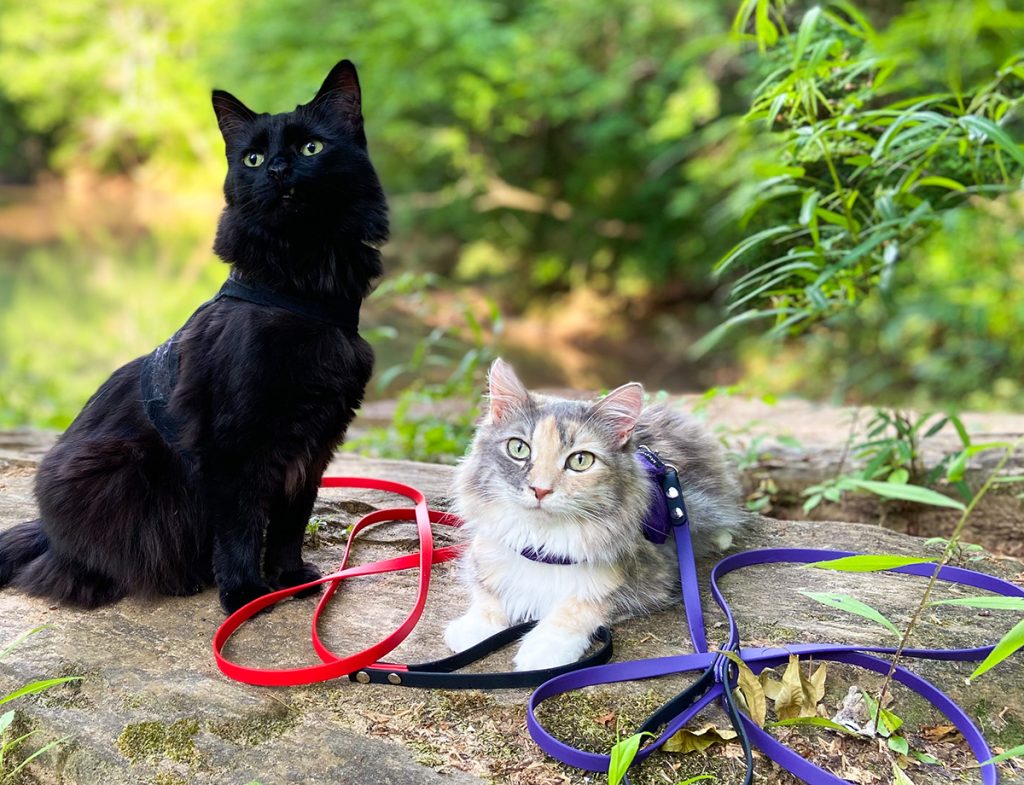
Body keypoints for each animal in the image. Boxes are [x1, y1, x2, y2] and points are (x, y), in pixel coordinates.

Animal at [0, 58, 387, 618]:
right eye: (252, 158)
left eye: (311, 148)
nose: (277, 170)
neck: (298, 287)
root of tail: (48, 533)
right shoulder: (232, 443)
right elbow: (240, 528)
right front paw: (246, 596)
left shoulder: (313, 443)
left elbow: (290, 522)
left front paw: (289, 579)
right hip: (113, 471)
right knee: (67, 568)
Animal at [444, 360, 749, 671]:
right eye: (518, 448)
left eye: (580, 461)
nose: (540, 490)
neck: (543, 544)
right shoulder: (484, 556)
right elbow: (487, 594)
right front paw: (473, 628)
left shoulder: (646, 579)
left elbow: (578, 608)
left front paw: (543, 650)